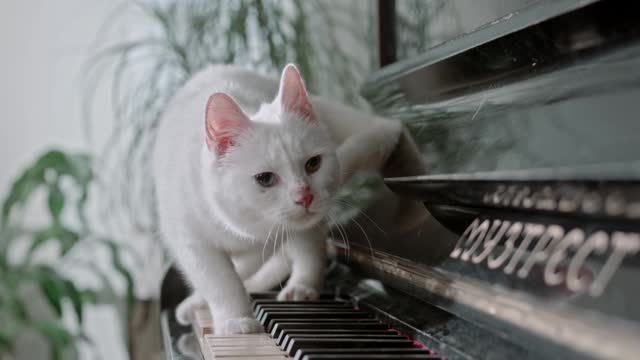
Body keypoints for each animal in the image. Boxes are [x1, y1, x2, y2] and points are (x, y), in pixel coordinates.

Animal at [152, 64, 402, 334]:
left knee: (307, 249)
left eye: (313, 163)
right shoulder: (190, 240)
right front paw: (235, 319)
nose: (305, 196)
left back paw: (300, 287)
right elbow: (221, 280)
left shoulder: (275, 236)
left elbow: (246, 268)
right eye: (265, 178)